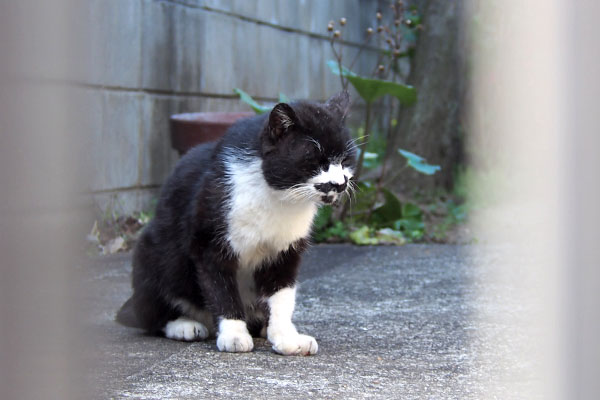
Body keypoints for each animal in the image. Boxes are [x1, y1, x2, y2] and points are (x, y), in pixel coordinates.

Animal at [117, 91, 356, 356]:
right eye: (316, 161)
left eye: (346, 160)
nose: (340, 183)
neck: (278, 199)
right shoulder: (209, 242)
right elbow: (221, 289)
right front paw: (233, 335)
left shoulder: (286, 251)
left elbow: (282, 295)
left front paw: (286, 337)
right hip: (153, 252)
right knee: (150, 313)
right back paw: (185, 325)